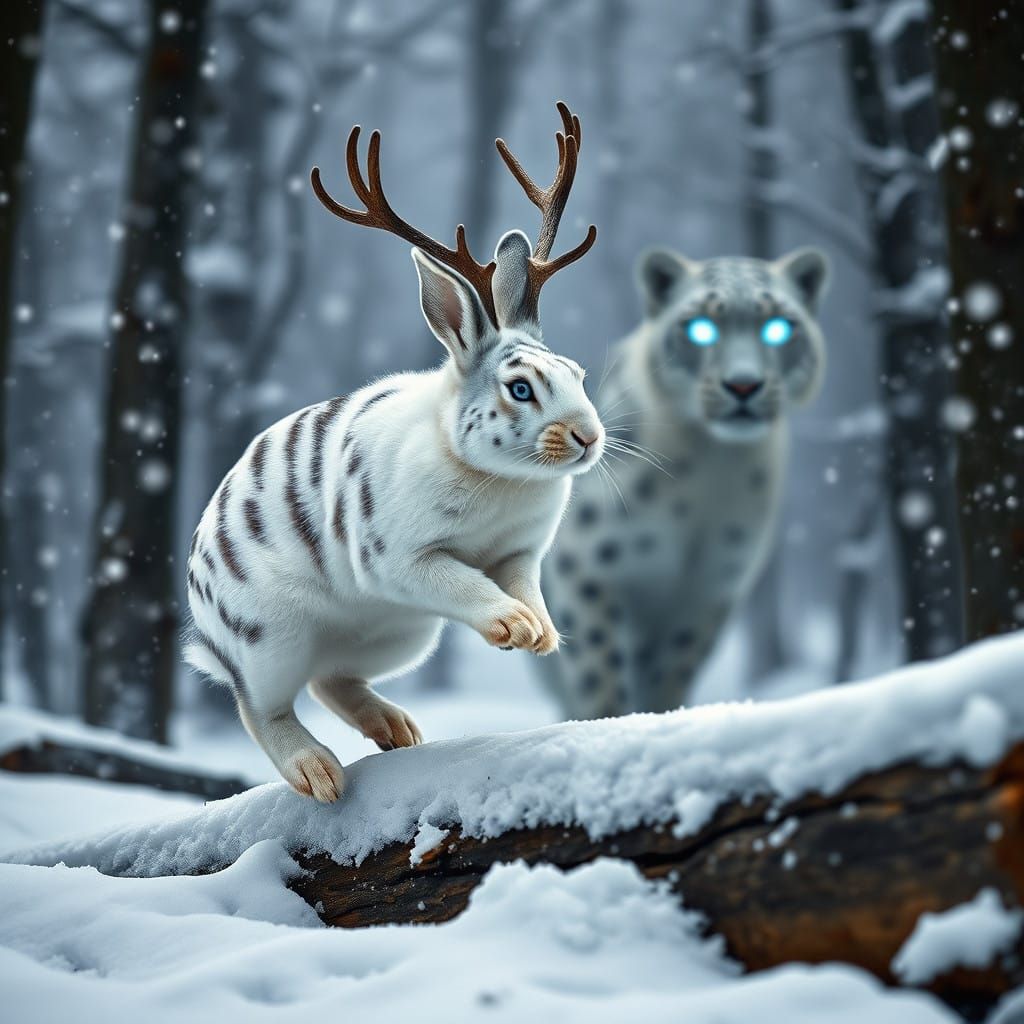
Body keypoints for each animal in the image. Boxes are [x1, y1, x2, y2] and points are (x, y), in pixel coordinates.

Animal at [184, 104, 603, 801]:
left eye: (578, 375)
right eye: (520, 388)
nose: (588, 437)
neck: (494, 476)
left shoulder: (519, 555)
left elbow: (523, 583)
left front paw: (539, 633)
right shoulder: (400, 559)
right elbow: (459, 581)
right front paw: (511, 626)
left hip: (401, 639)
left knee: (333, 679)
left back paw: (399, 731)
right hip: (272, 638)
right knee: (261, 707)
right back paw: (320, 776)